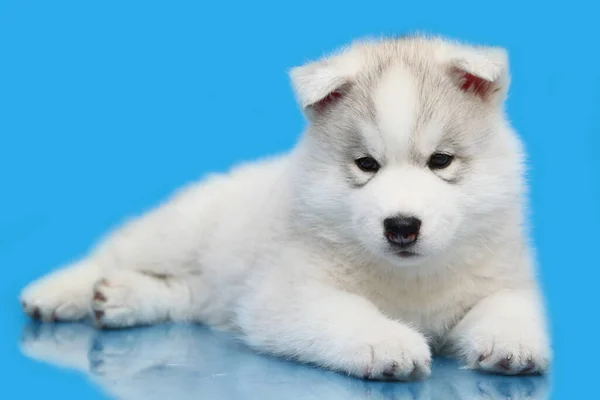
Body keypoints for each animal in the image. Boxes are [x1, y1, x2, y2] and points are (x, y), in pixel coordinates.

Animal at [21, 35, 552, 382]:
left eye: (440, 161)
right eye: (366, 164)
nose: (401, 226)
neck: (411, 280)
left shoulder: (503, 275)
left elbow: (507, 304)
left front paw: (514, 342)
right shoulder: (287, 292)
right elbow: (346, 310)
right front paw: (387, 341)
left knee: (184, 294)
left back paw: (122, 299)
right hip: (179, 233)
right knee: (113, 254)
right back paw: (58, 293)